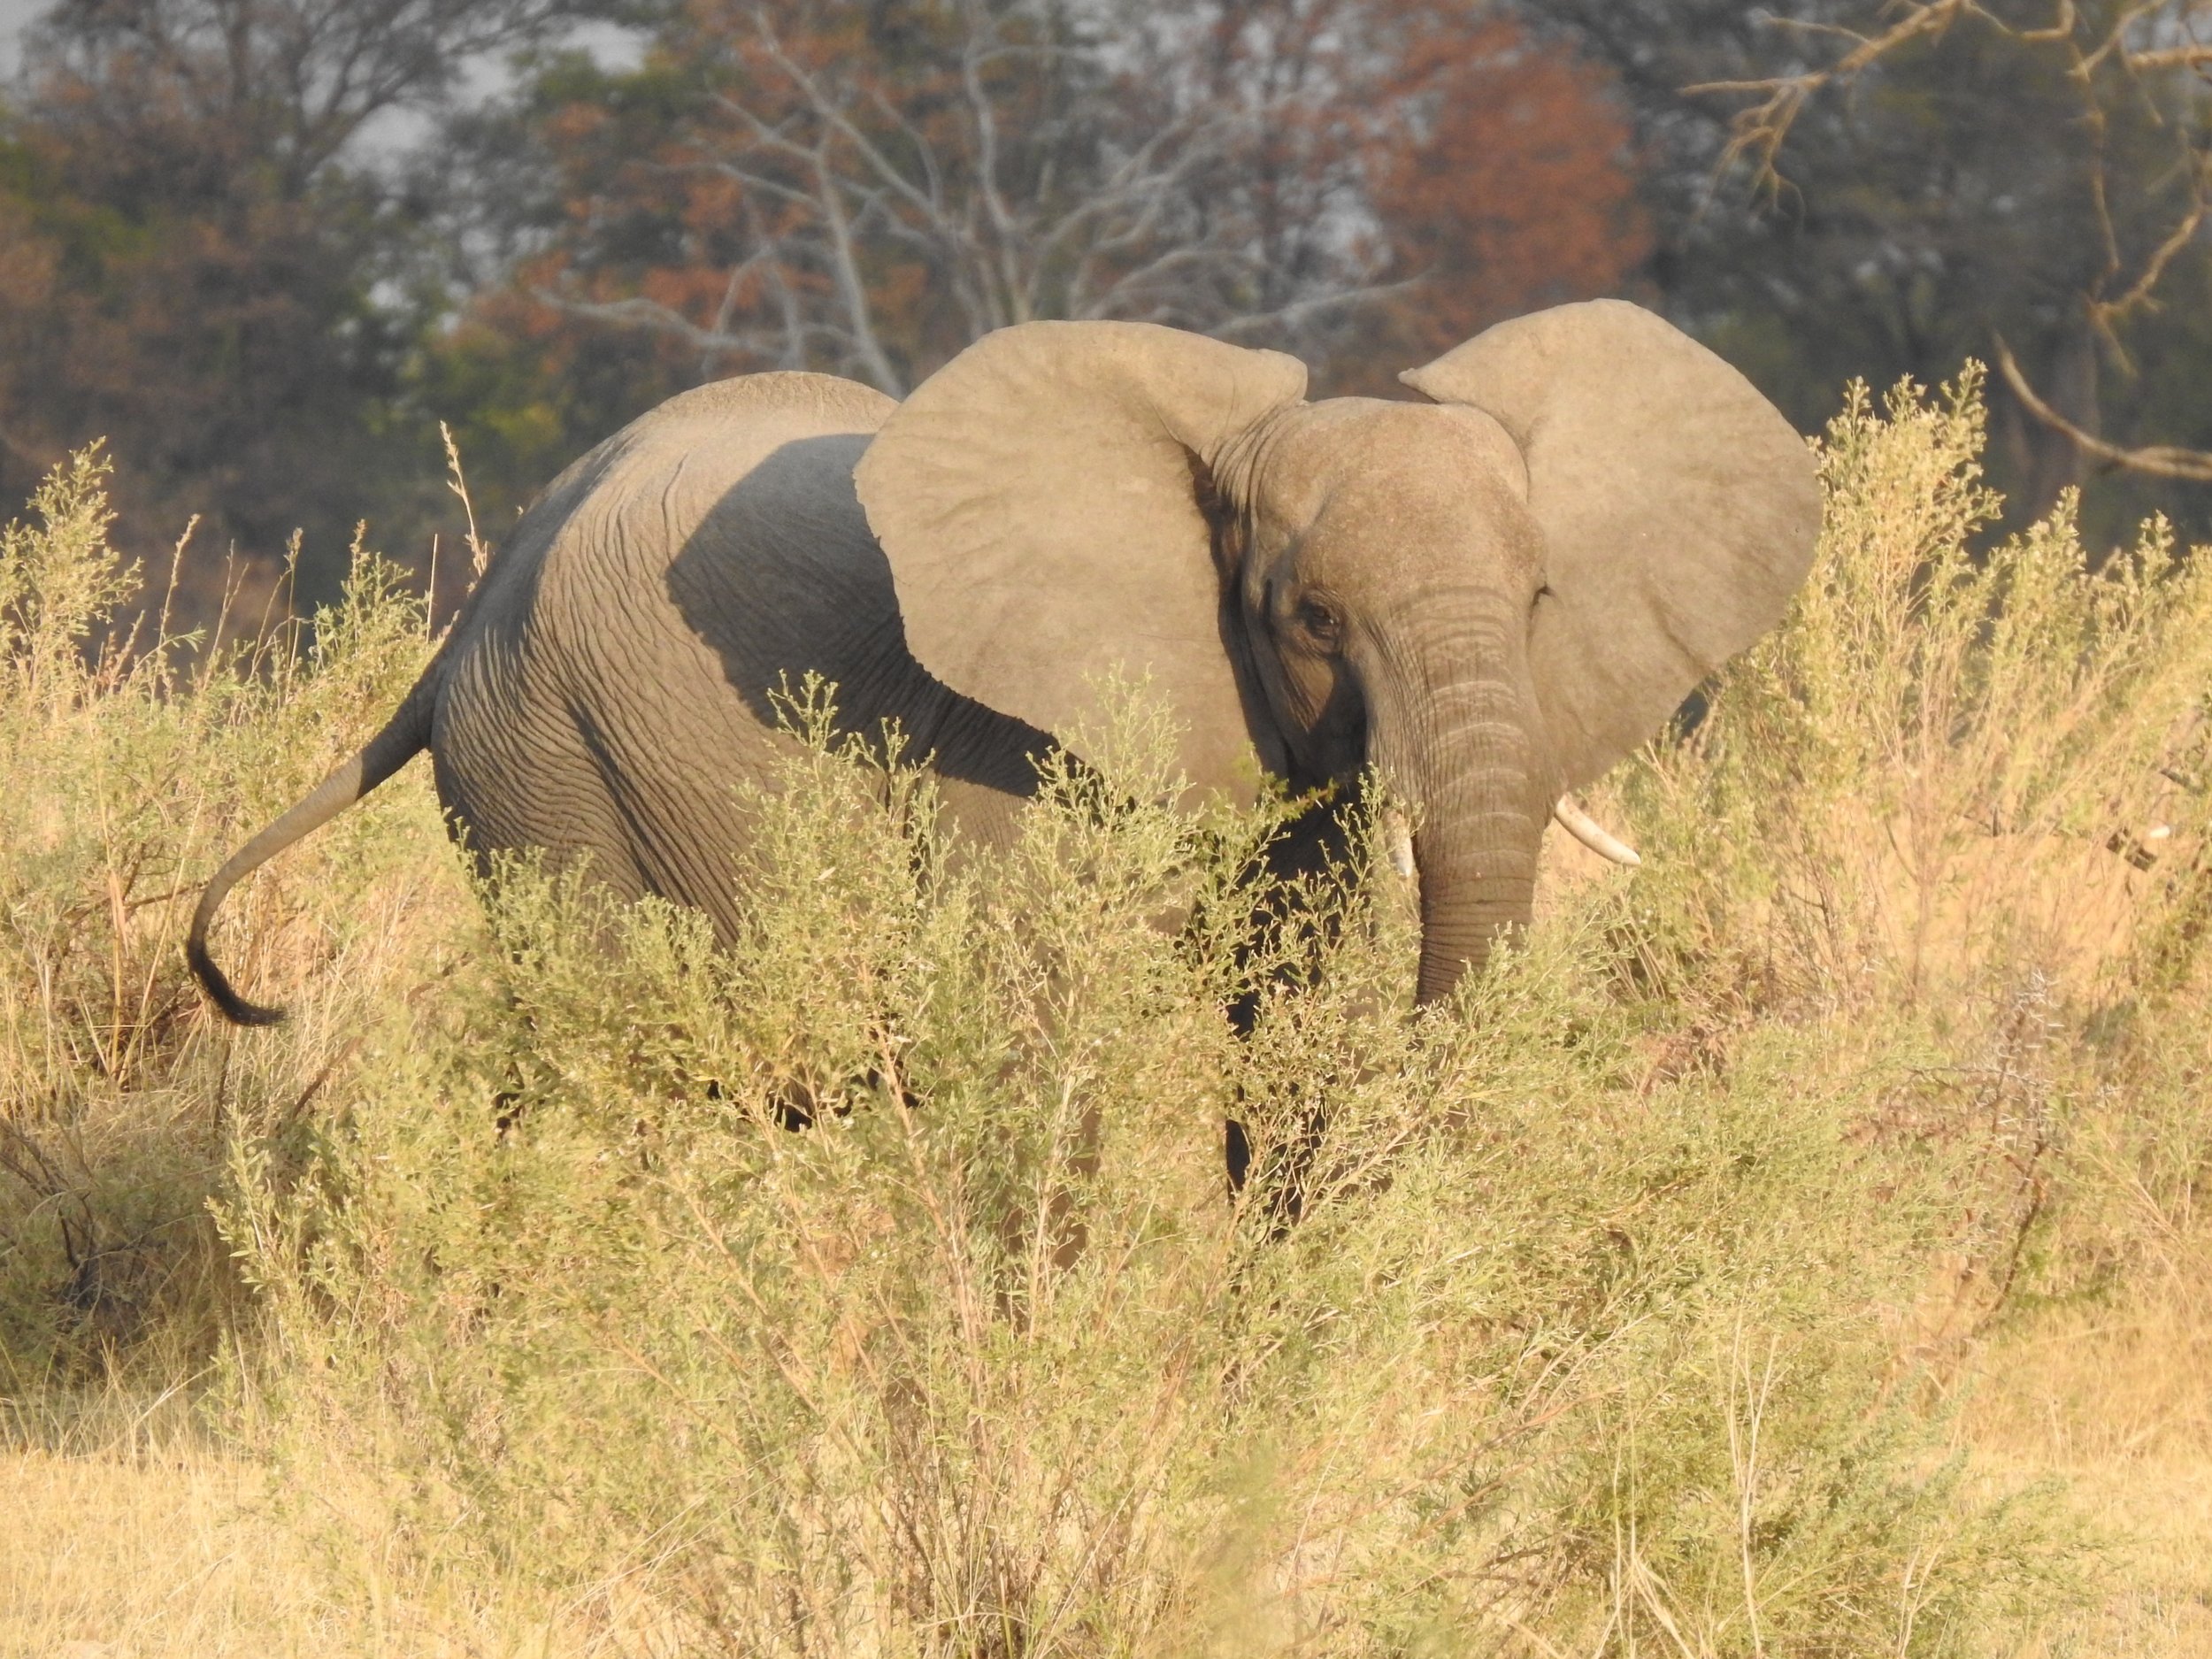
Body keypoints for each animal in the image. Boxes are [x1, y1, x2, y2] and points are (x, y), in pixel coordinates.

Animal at [187, 299, 1820, 1027]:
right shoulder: (1008, 753)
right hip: (541, 764)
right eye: (1310, 620)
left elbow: (1280, 1013)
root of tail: (469, 612)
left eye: (1541, 597)